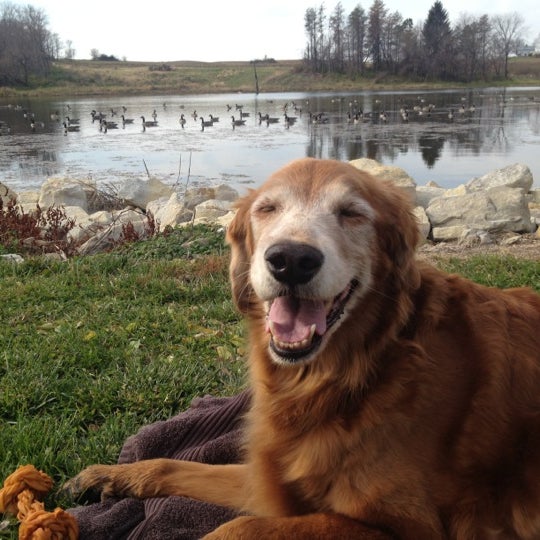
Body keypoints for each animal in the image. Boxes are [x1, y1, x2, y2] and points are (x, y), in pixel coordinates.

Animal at [66, 158, 540, 536]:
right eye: (267, 209)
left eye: (351, 213)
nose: (291, 260)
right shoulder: (268, 478)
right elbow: (175, 465)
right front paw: (112, 474)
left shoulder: (409, 528)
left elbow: (240, 527)